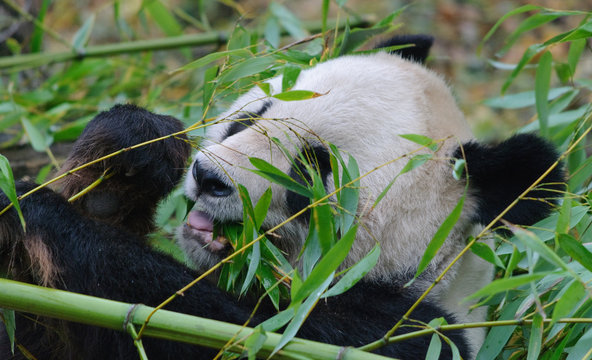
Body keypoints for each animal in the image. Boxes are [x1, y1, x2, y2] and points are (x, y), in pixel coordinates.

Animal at [0, 34, 560, 360]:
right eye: (253, 115)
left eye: (313, 169)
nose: (207, 176)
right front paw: (131, 146)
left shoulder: (410, 336)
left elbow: (215, 325)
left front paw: (36, 212)